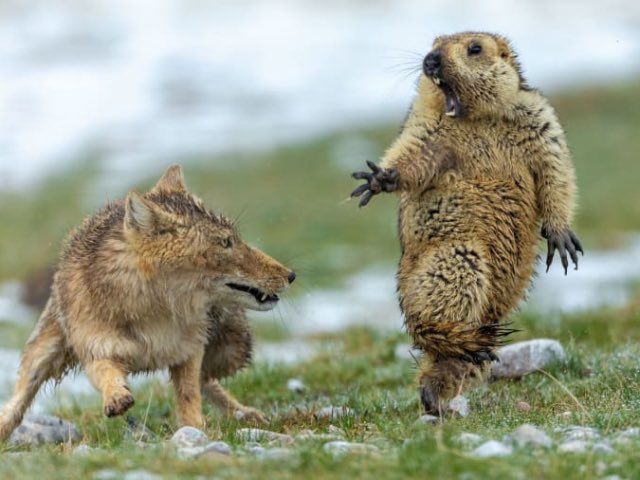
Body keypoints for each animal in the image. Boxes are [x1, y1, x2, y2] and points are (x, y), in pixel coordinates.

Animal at [0, 163, 296, 440]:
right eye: (225, 243)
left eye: (235, 239)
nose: (291, 275)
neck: (154, 313)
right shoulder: (96, 348)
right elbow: (106, 373)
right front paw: (116, 397)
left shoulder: (189, 350)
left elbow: (189, 394)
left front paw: (195, 428)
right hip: (43, 352)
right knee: (19, 398)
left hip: (232, 349)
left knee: (208, 381)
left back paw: (244, 413)